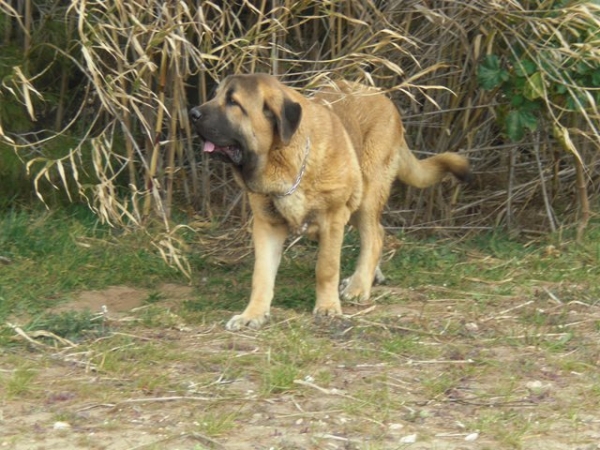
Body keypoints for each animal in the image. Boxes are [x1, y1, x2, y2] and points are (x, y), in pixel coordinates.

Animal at [190, 74, 472, 330]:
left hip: (366, 194)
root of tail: (381, 95)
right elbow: (262, 274)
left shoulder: (332, 218)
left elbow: (326, 268)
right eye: (215, 95)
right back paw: (367, 277)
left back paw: (359, 286)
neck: (283, 160)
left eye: (233, 102)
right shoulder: (266, 225)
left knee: (374, 236)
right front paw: (253, 314)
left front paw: (327, 307)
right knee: (379, 233)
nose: (192, 112)